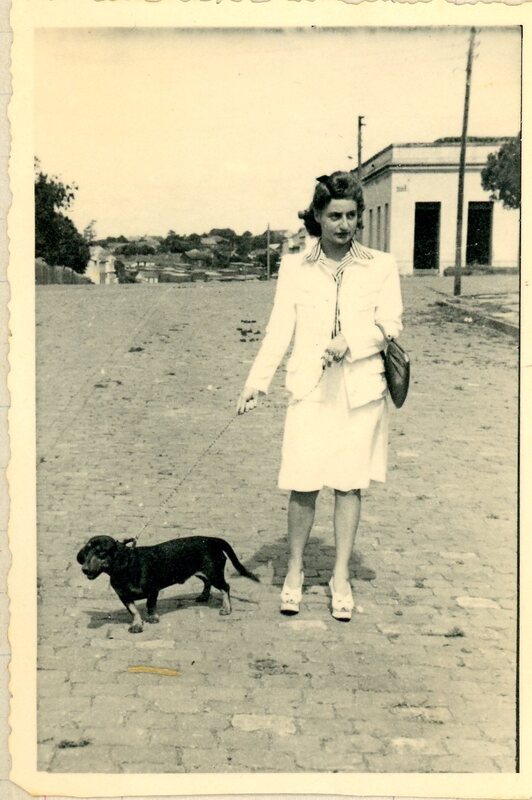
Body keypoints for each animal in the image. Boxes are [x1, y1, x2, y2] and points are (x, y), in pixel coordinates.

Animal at [77, 535, 260, 633]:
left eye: (101, 553)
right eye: (86, 552)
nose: (84, 570)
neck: (126, 567)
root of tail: (212, 540)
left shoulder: (153, 590)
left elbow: (150, 606)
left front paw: (152, 618)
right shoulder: (124, 597)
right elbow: (134, 611)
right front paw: (137, 624)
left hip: (214, 573)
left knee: (225, 588)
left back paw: (226, 608)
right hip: (201, 572)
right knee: (207, 583)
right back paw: (203, 596)